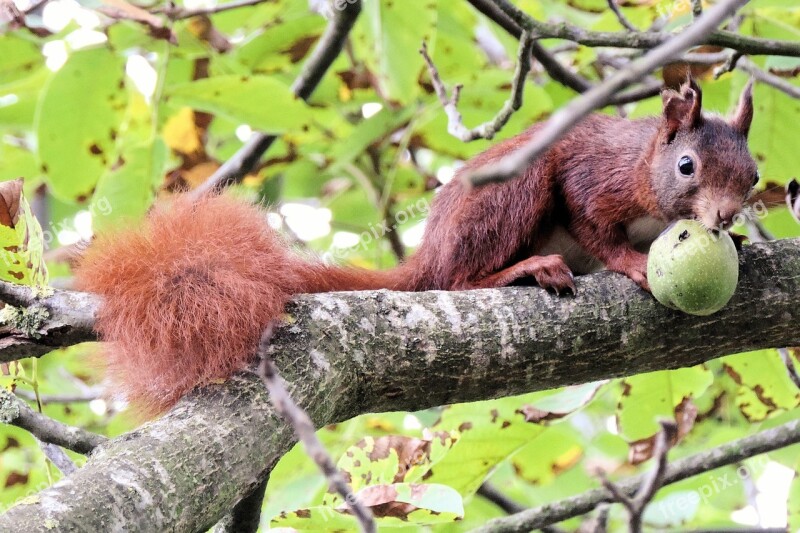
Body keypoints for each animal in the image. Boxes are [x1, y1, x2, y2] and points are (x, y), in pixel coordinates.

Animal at [73, 79, 756, 414]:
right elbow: (595, 226)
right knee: (455, 280)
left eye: (752, 175)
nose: (723, 216)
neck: (645, 170)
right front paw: (633, 263)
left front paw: (742, 240)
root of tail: (430, 250)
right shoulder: (594, 179)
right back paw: (523, 270)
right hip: (507, 196)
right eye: (688, 166)